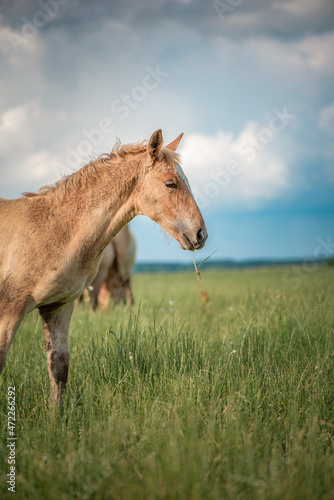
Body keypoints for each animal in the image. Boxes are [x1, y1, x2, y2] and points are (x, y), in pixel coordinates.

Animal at [0, 131, 207, 408]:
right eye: (170, 184)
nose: (200, 234)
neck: (54, 229)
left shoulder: (58, 306)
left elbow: (59, 368)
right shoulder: (10, 309)